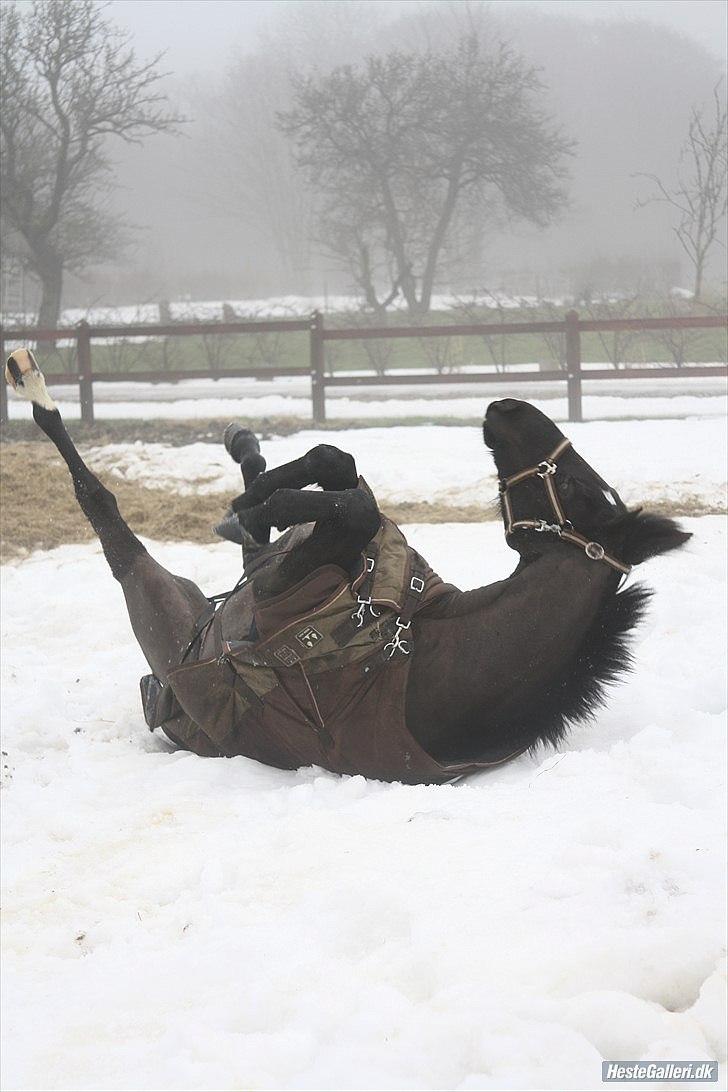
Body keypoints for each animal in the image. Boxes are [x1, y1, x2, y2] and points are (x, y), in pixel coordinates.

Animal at [4, 351, 689, 786]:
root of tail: (162, 692)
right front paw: (262, 496)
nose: (508, 405)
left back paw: (33, 383)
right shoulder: (305, 559)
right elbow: (340, 468)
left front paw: (268, 504)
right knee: (253, 522)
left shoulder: (281, 589)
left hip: (156, 600)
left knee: (106, 513)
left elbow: (355, 507)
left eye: (572, 486)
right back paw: (244, 458)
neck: (418, 645)